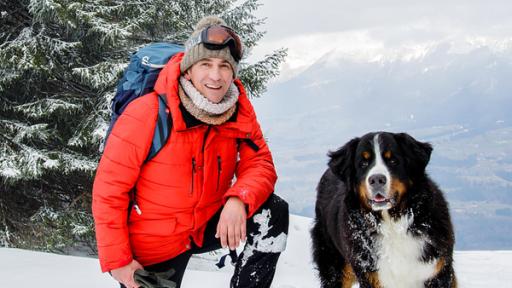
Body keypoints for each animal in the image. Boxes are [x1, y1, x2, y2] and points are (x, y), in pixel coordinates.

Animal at [310, 132, 458, 286]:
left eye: (393, 160)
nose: (376, 179)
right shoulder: (371, 276)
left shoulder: (437, 270)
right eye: (363, 163)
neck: (393, 224)